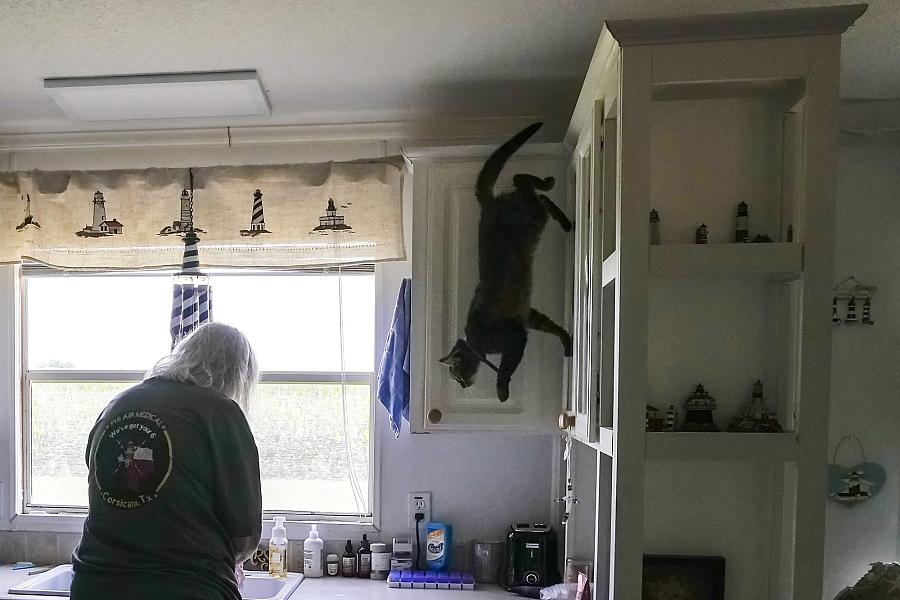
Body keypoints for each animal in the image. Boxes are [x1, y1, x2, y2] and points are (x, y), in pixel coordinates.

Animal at [440, 122, 572, 404]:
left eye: (456, 376)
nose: (462, 387)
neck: (477, 343)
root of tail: (487, 203)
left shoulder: (516, 337)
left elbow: (505, 369)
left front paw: (501, 391)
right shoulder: (528, 317)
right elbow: (552, 326)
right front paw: (567, 342)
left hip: (530, 217)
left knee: (527, 187)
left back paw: (553, 192)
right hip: (531, 217)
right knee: (528, 188)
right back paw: (554, 196)